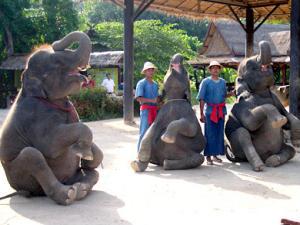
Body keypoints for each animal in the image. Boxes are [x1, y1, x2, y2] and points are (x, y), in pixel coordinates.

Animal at [0, 30, 103, 205]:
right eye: (57, 63)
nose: (55, 43)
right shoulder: (34, 117)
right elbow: (50, 145)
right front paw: (85, 153)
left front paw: (88, 156)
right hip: (18, 175)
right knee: (32, 155)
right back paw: (68, 195)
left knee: (94, 174)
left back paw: (80, 188)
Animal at [225, 40, 300, 171]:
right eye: (249, 65)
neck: (262, 93)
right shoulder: (242, 104)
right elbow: (250, 123)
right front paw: (279, 120)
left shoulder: (276, 100)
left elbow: (290, 118)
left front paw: (296, 141)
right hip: (237, 148)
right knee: (242, 133)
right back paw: (259, 166)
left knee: (291, 151)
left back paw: (273, 161)